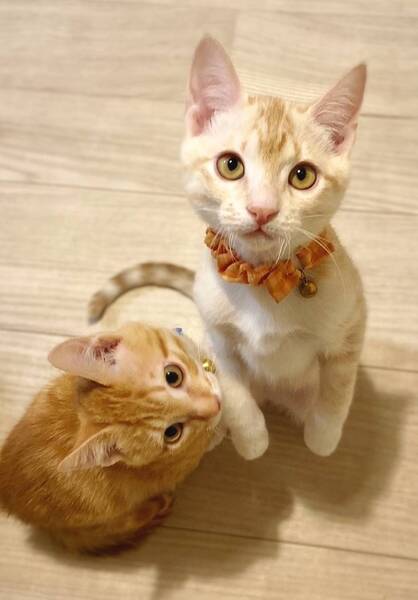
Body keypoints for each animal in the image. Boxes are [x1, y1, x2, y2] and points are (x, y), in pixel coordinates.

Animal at [88, 36, 367, 461]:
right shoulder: (218, 339)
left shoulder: (351, 322)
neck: (264, 278)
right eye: (231, 165)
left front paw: (323, 437)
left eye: (303, 175)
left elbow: (337, 385)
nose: (262, 209)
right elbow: (234, 392)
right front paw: (251, 440)